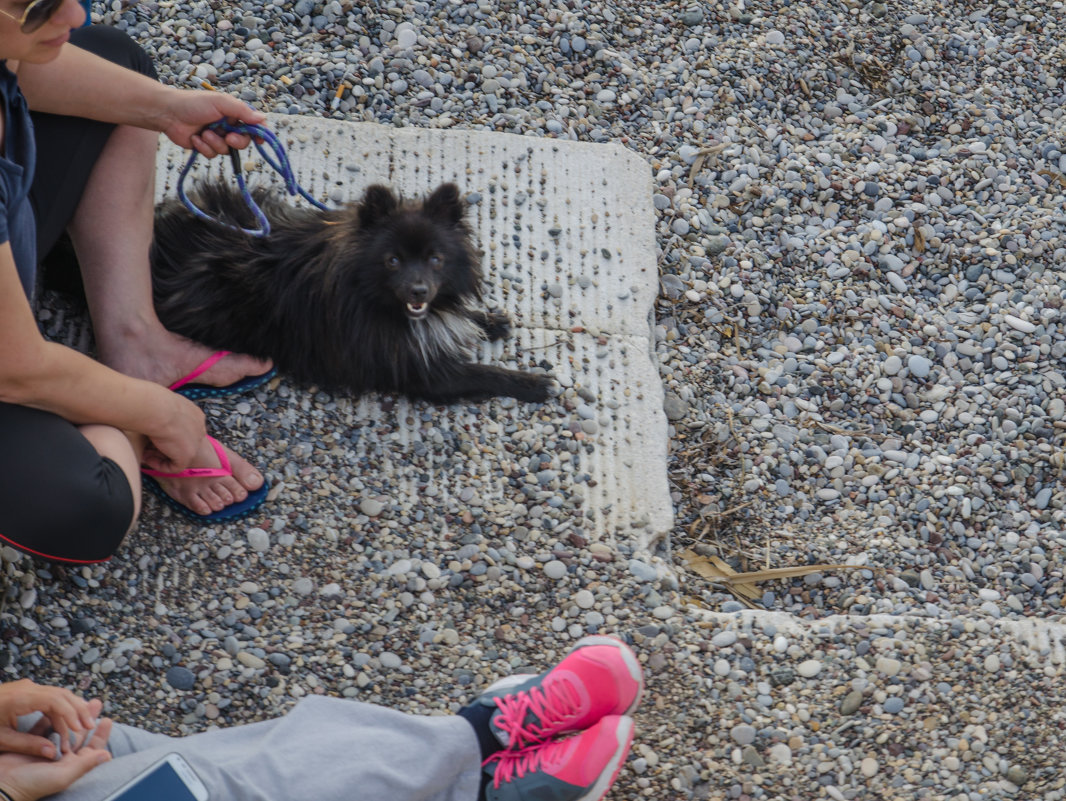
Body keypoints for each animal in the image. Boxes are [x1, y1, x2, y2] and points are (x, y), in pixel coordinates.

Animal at [150, 184, 554, 403]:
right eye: (393, 260)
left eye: (435, 259)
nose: (419, 289)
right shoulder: (420, 371)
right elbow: (481, 372)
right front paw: (531, 383)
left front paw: (489, 320)